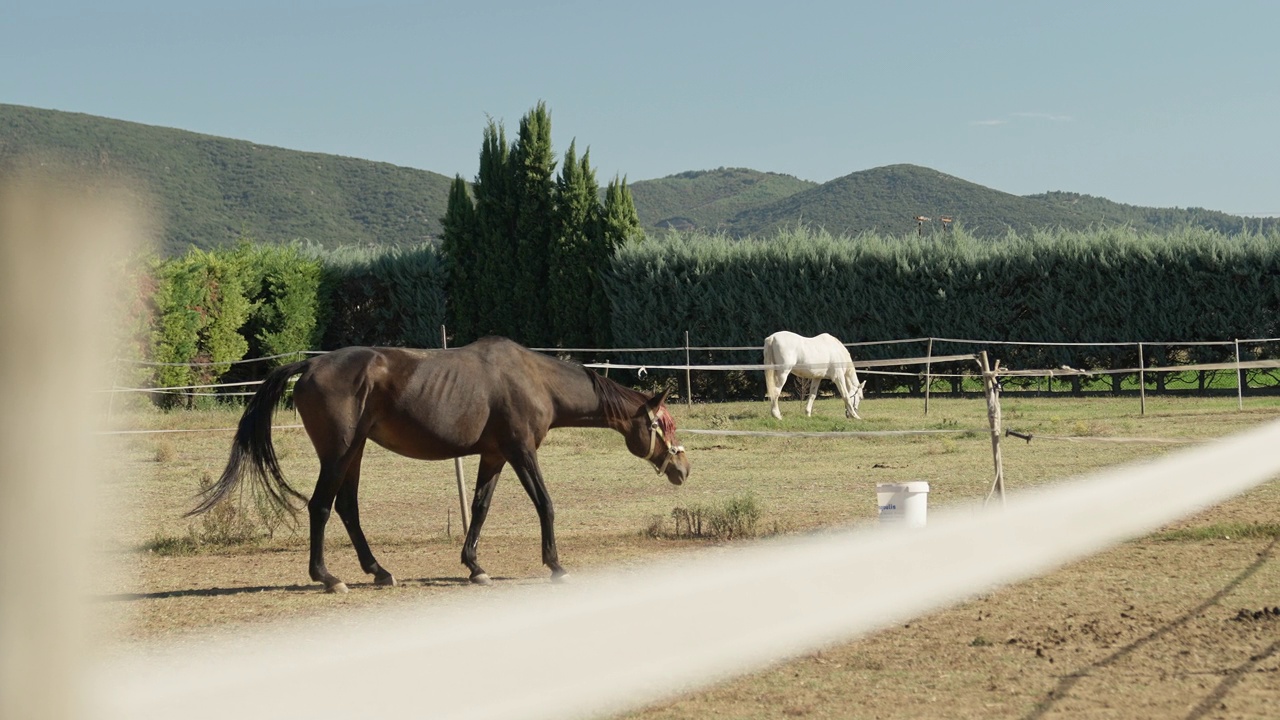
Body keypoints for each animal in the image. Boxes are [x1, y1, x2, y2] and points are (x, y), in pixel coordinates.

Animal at [186, 335, 691, 589]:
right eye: (664, 424)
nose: (683, 470)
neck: (536, 380)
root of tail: (309, 366)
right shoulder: (520, 451)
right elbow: (545, 504)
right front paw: (555, 565)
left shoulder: (494, 455)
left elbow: (481, 509)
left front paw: (475, 566)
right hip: (339, 451)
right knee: (321, 507)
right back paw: (329, 578)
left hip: (355, 451)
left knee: (347, 508)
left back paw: (379, 572)